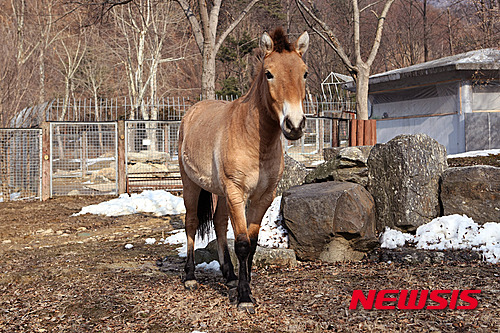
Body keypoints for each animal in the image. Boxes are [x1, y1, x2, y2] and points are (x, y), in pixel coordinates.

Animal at [178, 27, 306, 312]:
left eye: (304, 73)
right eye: (269, 73)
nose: (294, 125)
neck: (253, 138)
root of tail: (192, 111)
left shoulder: (263, 197)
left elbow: (252, 243)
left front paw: (242, 287)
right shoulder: (237, 193)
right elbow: (243, 244)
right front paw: (245, 298)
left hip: (221, 193)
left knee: (218, 223)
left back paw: (229, 276)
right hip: (191, 185)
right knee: (191, 223)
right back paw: (190, 277)